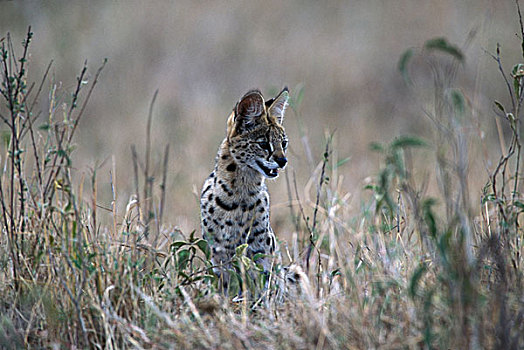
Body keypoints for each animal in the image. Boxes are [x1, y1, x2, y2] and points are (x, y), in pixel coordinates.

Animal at [201, 87, 290, 292]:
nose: (283, 161)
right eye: (263, 144)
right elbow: (227, 286)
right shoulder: (219, 252)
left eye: (283, 143)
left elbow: (262, 286)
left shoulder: (261, 251)